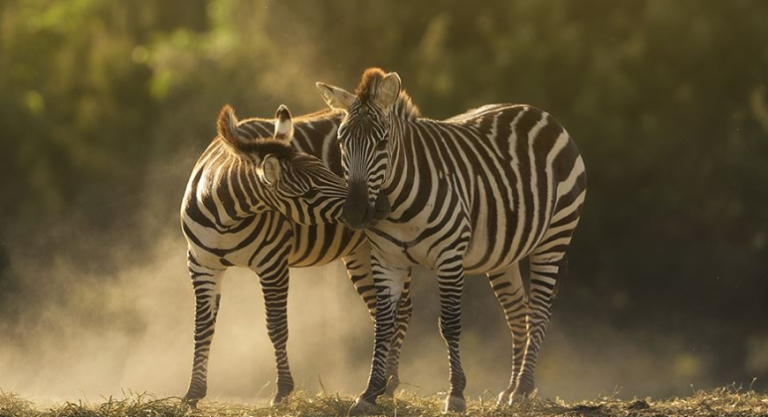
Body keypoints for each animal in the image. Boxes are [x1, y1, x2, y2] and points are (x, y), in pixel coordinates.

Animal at [180, 103, 413, 407]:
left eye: (329, 169)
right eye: (309, 193)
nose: (381, 206)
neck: (226, 216)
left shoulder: (273, 263)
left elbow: (277, 326)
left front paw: (282, 391)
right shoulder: (201, 265)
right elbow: (202, 328)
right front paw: (192, 393)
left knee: (402, 310)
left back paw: (391, 383)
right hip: (360, 252)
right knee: (381, 311)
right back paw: (383, 382)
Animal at [316, 68, 587, 414]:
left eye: (382, 141)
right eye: (342, 141)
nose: (355, 211)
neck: (398, 205)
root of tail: (538, 112)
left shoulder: (449, 257)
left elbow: (449, 324)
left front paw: (456, 393)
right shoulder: (387, 260)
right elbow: (383, 324)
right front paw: (369, 392)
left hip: (554, 237)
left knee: (539, 311)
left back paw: (523, 389)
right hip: (504, 254)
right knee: (518, 313)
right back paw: (511, 389)